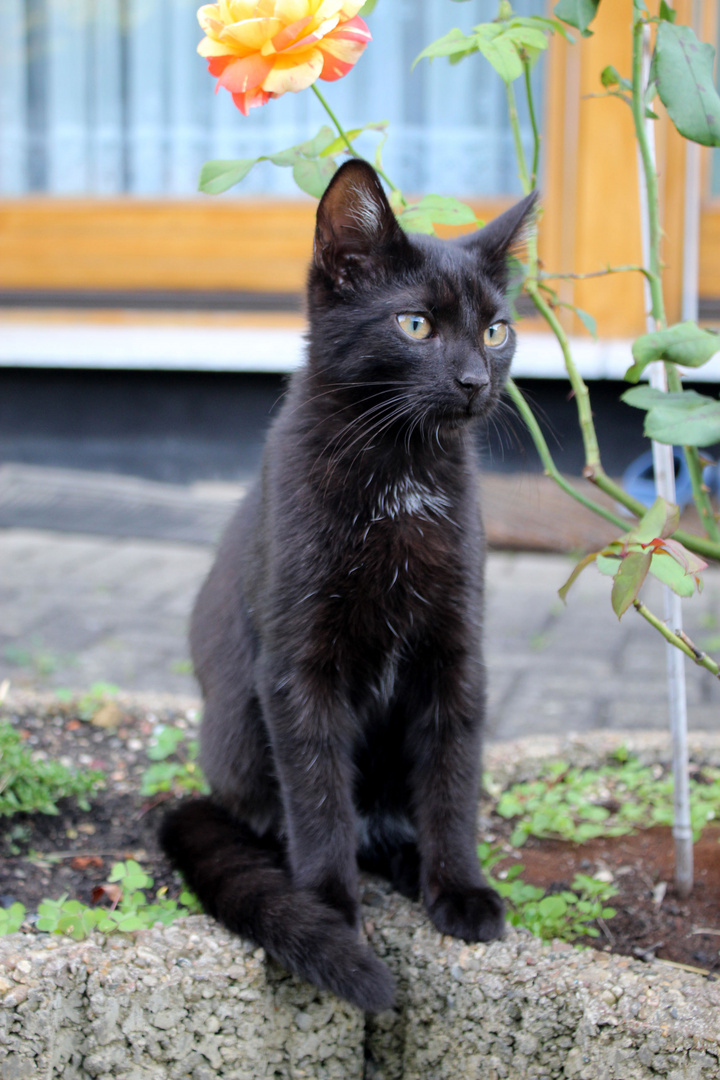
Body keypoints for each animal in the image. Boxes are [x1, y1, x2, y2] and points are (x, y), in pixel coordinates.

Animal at [160, 159, 537, 1010]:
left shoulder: (458, 654)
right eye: (415, 325)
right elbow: (318, 792)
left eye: (496, 330)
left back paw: (408, 860)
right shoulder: (297, 666)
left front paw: (459, 888)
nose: (475, 379)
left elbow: (453, 778)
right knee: (283, 815)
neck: (400, 471)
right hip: (239, 730)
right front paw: (328, 912)